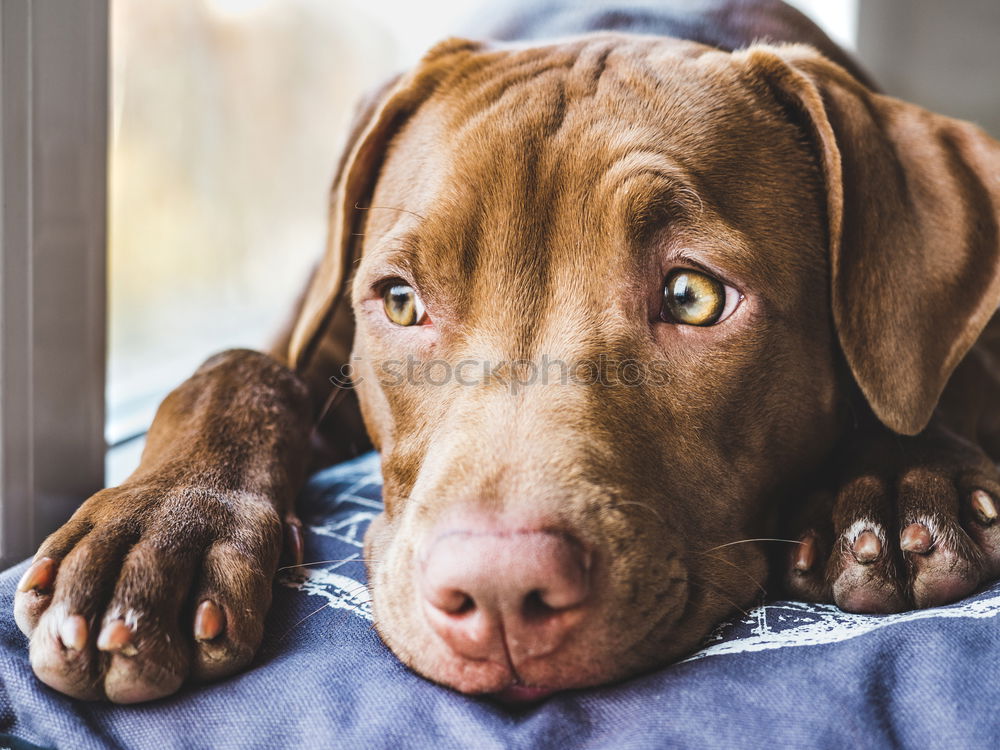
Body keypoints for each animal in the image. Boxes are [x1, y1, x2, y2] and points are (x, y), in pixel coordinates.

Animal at [13, 0, 1000, 704]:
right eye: (401, 303)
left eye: (694, 296)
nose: (496, 596)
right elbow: (237, 370)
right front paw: (161, 532)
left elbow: (928, 373)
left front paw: (900, 476)